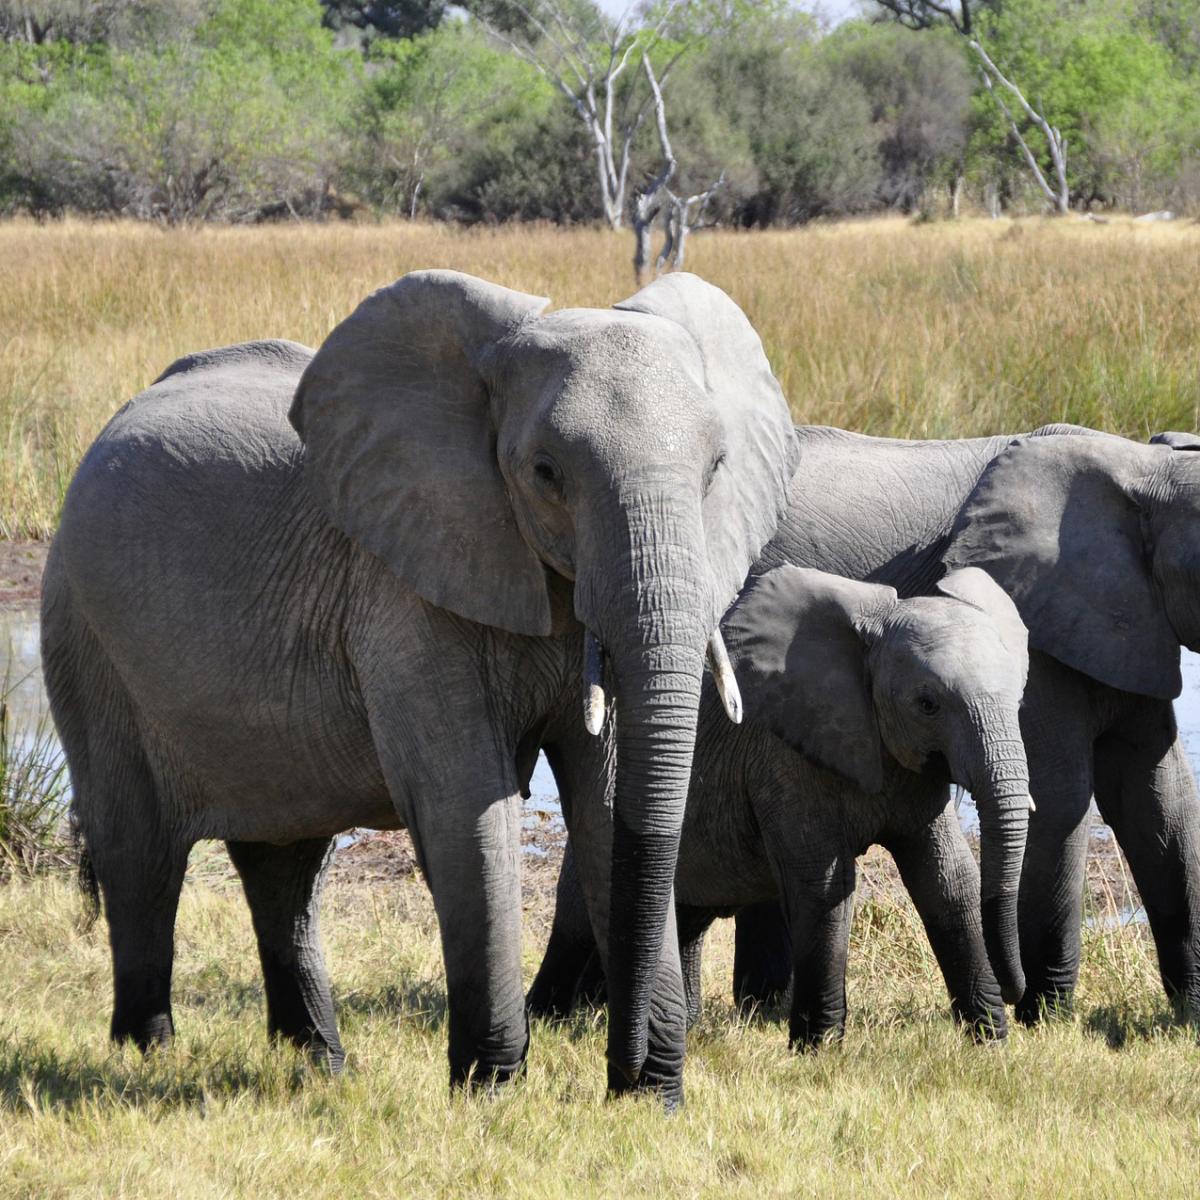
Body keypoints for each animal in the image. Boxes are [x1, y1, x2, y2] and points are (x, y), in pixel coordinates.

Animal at [42, 269, 797, 1104]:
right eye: (545, 473)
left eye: (716, 468)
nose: (628, 1072)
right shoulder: (401, 590)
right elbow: (466, 805)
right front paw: (489, 1090)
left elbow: (604, 805)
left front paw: (648, 1099)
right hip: (83, 631)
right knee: (139, 853)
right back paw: (146, 1056)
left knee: (285, 864)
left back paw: (320, 1064)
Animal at [529, 563, 1031, 1045]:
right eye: (927, 704)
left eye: (1018, 697)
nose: (1016, 991)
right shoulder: (781, 757)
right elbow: (824, 888)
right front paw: (819, 1048)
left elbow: (948, 881)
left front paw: (990, 1040)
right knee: (579, 914)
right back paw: (547, 1019)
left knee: (687, 916)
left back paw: (678, 1024)